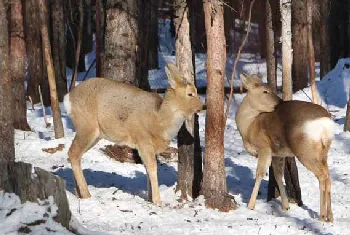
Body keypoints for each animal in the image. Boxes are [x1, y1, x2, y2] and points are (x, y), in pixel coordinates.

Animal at [64, 63, 204, 207]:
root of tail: (67, 98)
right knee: (72, 153)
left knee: (76, 155)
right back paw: (86, 194)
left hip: (95, 134)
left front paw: (150, 198)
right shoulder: (143, 139)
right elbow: (152, 168)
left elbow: (147, 168)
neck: (158, 122)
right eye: (190, 93)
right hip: (86, 126)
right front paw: (158, 201)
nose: (203, 106)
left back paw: (79, 193)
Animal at [235, 73, 334, 222]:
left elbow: (259, 174)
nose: (280, 102)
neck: (249, 127)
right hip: (323, 151)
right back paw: (330, 217)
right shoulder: (277, 154)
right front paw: (286, 206)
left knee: (322, 176)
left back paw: (322, 216)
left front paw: (250, 206)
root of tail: (325, 123)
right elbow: (278, 175)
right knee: (328, 175)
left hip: (305, 150)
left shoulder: (264, 147)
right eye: (265, 91)